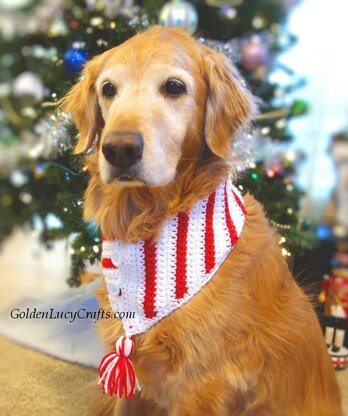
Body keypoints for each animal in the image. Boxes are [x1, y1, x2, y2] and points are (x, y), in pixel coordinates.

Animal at [63, 26, 342, 416]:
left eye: (174, 87)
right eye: (108, 89)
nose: (119, 149)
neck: (154, 220)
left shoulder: (201, 385)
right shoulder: (133, 372)